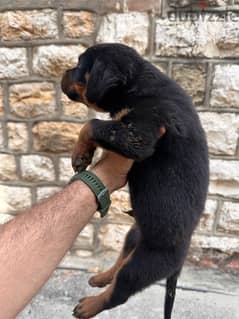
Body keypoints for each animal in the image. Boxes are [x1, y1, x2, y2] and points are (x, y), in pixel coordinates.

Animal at [61, 44, 209, 319]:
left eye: (79, 66)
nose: (64, 72)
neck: (138, 86)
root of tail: (181, 260)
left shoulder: (140, 134)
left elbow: (92, 124)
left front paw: (79, 153)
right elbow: (97, 125)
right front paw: (83, 153)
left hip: (147, 262)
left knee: (121, 288)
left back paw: (89, 306)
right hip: (134, 234)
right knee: (121, 262)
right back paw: (101, 277)